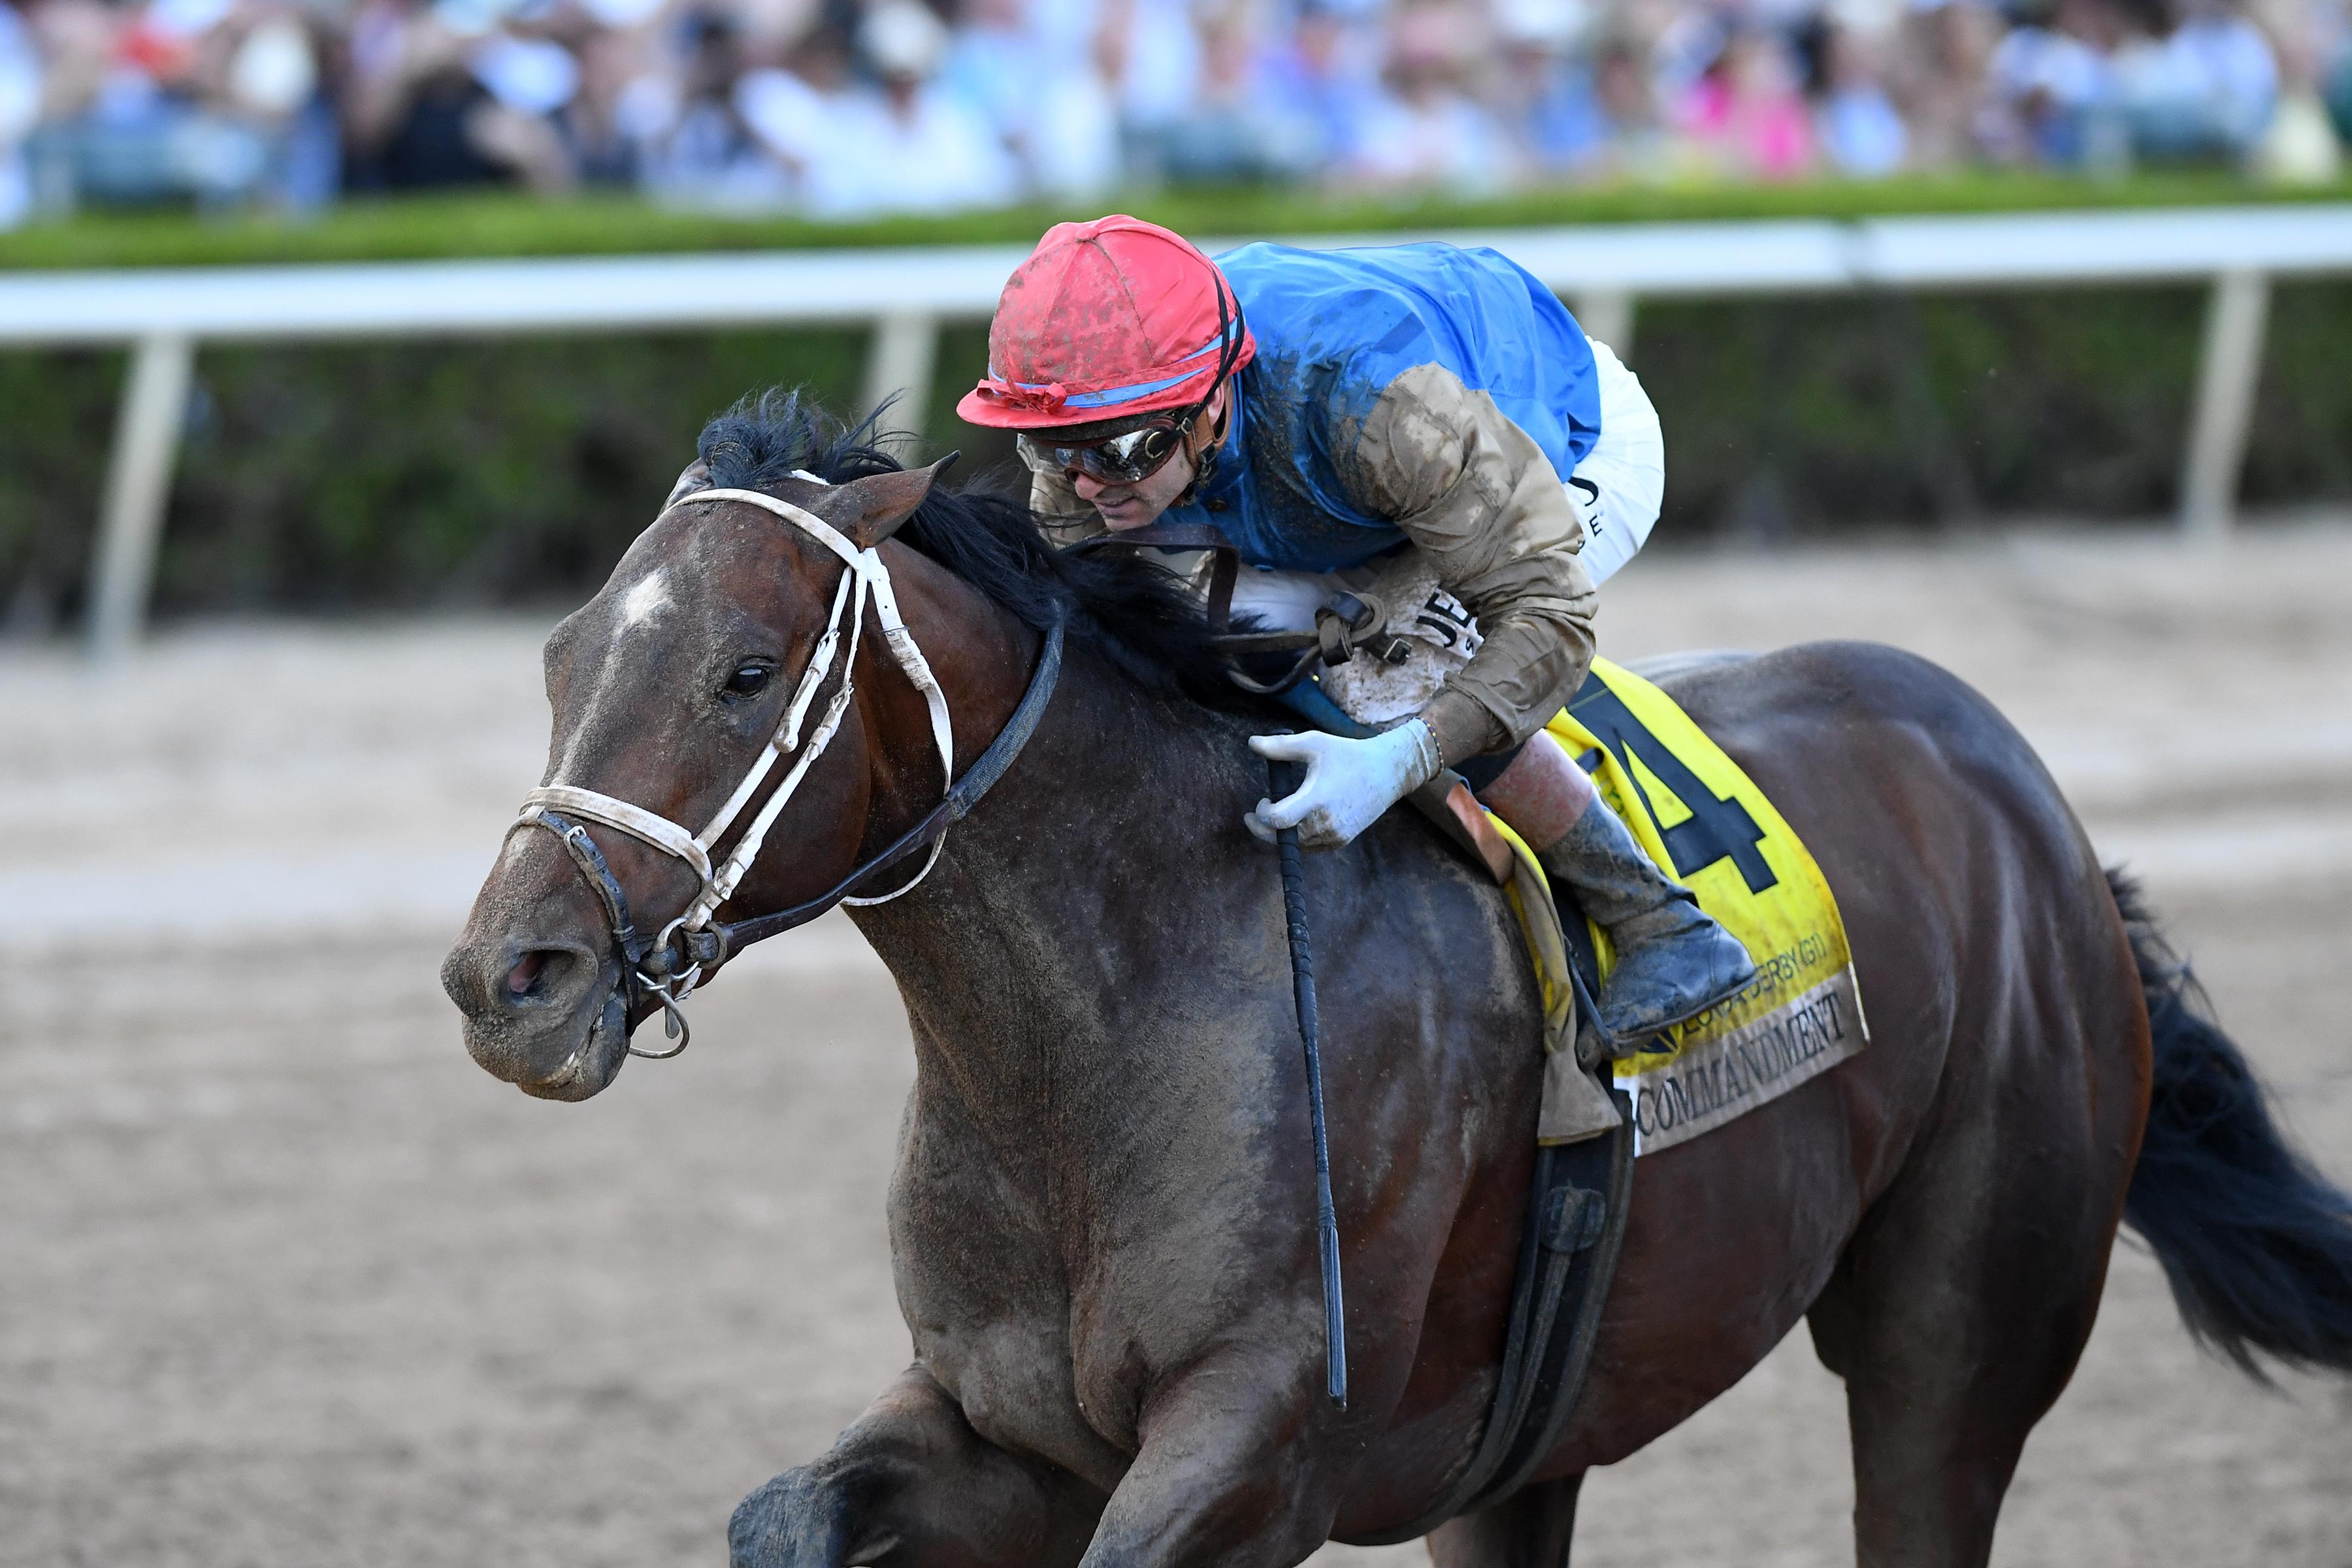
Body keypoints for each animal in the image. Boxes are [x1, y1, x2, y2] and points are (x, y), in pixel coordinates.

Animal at [442, 392, 2352, 1568]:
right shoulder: (1006, 1423)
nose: (509, 975)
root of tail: (2027, 796)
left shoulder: (1263, 1445)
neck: (1104, 1031)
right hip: (1539, 1432)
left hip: (1958, 1334)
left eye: (750, 669)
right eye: (562, 654)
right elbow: (786, 1510)